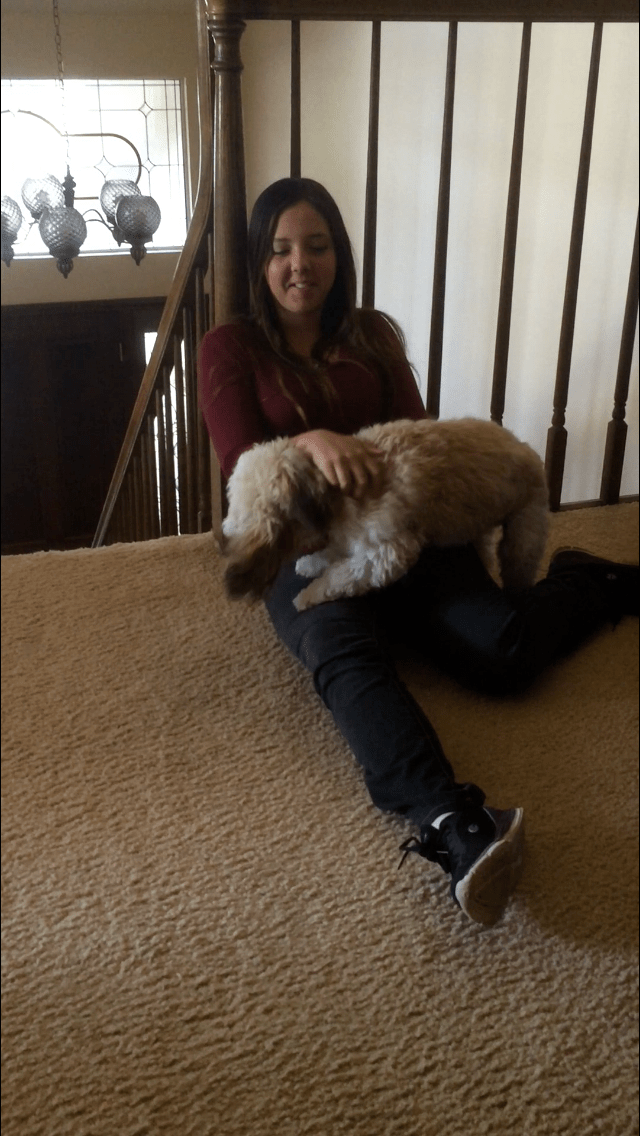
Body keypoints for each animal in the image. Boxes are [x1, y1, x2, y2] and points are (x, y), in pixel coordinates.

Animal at [221, 417, 549, 611]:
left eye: (237, 508)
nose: (224, 527)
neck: (333, 492)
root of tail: (528, 449)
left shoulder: (385, 555)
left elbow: (338, 577)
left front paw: (307, 596)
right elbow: (331, 554)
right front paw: (311, 563)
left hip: (523, 538)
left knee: (519, 568)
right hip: (476, 522)